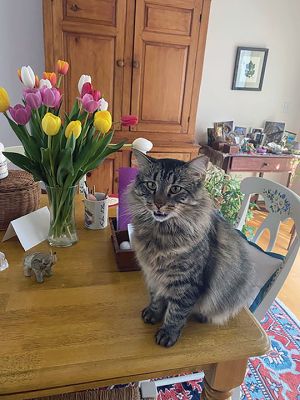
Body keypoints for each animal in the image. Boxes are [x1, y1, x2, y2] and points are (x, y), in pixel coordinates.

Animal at [127, 150, 254, 346]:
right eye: (151, 185)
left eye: (175, 189)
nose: (158, 203)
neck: (160, 233)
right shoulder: (154, 275)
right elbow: (156, 299)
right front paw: (153, 314)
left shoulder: (186, 282)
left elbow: (176, 313)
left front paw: (168, 334)